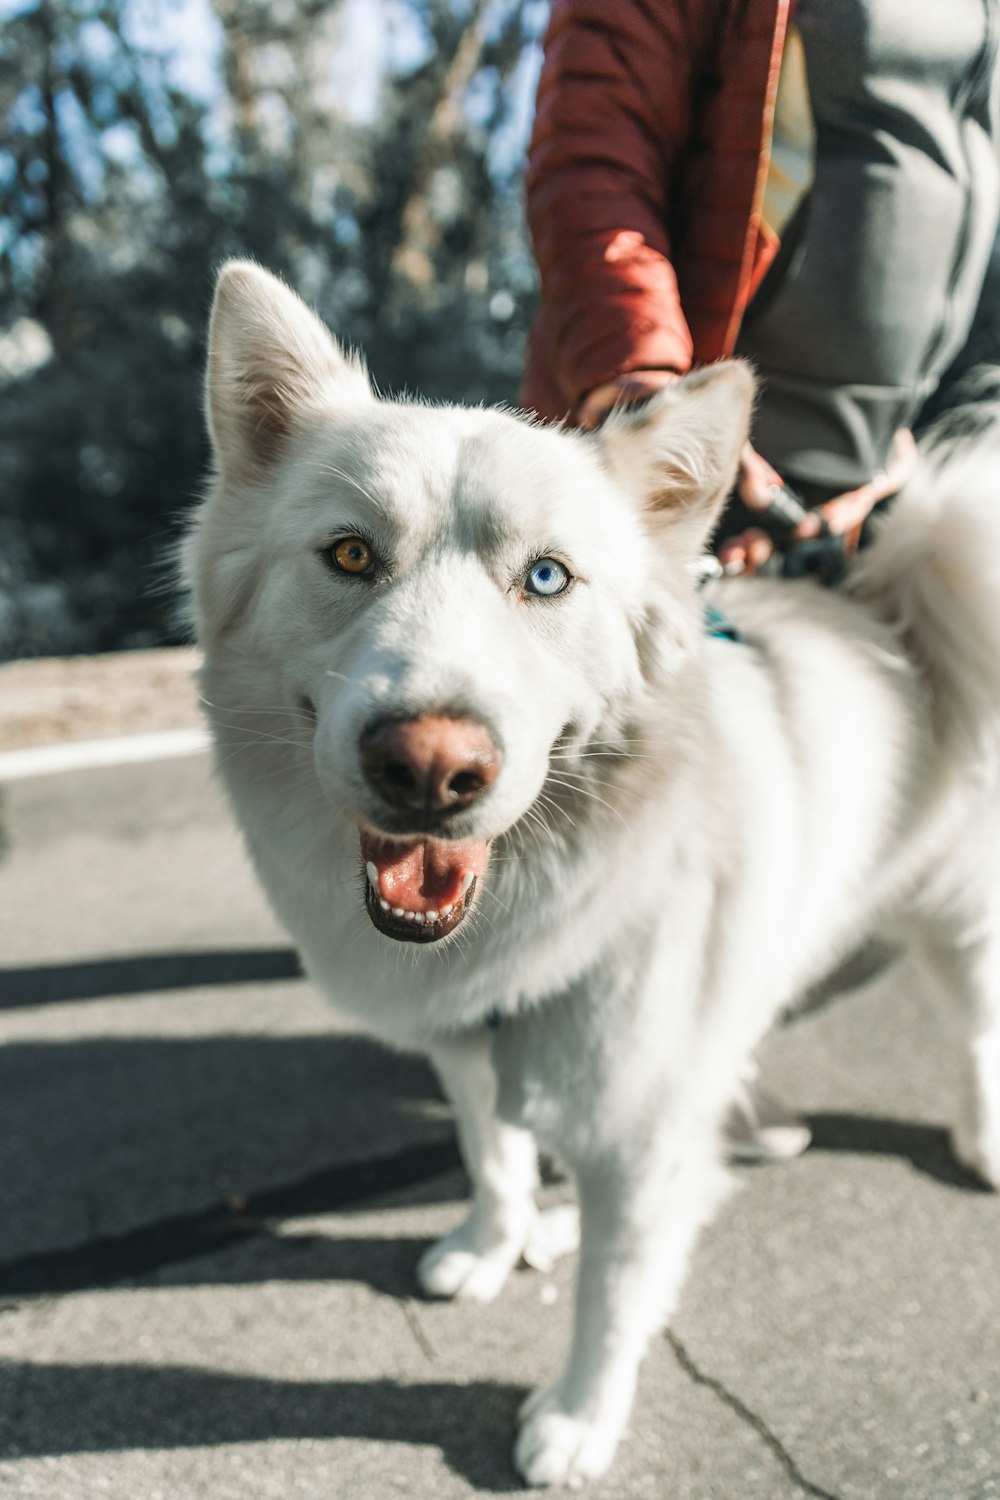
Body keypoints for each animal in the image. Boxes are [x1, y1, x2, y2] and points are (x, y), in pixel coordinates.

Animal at [185, 261, 1000, 1488]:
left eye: (546, 579)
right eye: (350, 555)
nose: (429, 770)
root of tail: (902, 614)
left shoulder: (639, 1138)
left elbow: (614, 1299)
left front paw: (576, 1418)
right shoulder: (470, 1046)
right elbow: (491, 1153)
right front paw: (494, 1239)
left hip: (957, 920)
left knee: (974, 1024)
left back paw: (981, 1141)